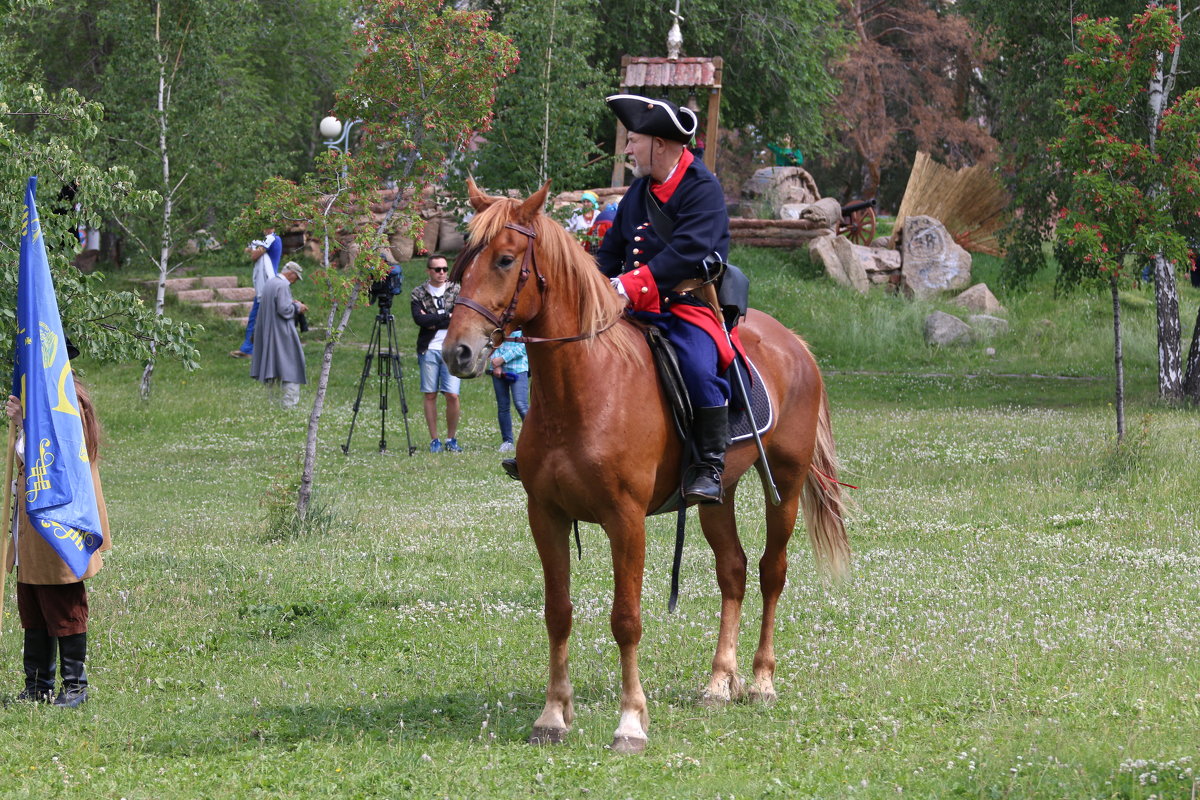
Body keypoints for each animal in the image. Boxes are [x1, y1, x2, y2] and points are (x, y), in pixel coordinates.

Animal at [446, 178, 849, 753]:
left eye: (504, 259)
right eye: (462, 260)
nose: (457, 352)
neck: (584, 386)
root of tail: (796, 344)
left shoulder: (626, 520)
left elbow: (627, 619)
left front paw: (631, 721)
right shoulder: (545, 515)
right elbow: (558, 613)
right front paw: (553, 715)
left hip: (787, 485)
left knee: (772, 572)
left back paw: (760, 681)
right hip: (716, 496)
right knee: (734, 571)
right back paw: (718, 682)